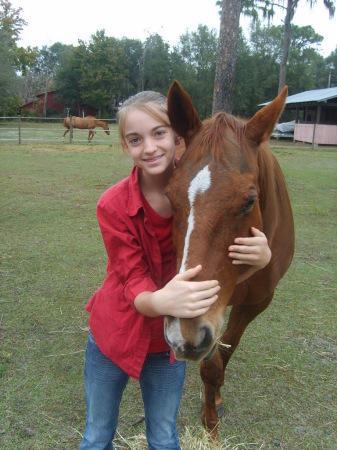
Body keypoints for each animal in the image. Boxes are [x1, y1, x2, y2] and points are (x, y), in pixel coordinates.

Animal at [164, 81, 292, 440]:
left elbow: (225, 352)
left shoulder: (257, 302)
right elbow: (211, 365)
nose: (184, 334)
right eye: (169, 196)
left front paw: (216, 403)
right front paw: (211, 430)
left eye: (250, 201)